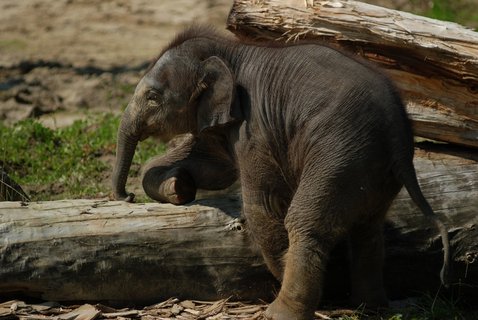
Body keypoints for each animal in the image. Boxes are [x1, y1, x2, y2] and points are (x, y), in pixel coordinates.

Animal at [111, 26, 448, 318]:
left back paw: (281, 311)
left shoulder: (255, 128)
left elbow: (260, 204)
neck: (232, 50)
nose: (127, 198)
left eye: (153, 97)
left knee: (304, 221)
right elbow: (213, 168)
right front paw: (178, 186)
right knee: (369, 228)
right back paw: (371, 306)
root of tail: (400, 134)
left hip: (341, 155)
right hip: (372, 170)